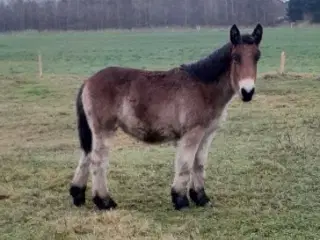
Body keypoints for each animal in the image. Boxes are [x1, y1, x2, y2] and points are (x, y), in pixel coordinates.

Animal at [71, 23, 264, 210]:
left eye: (257, 57)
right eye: (236, 57)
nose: (247, 92)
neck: (204, 88)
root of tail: (88, 81)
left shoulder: (207, 134)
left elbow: (199, 164)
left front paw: (201, 198)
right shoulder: (192, 133)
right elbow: (186, 165)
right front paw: (180, 200)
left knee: (86, 156)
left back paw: (77, 195)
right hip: (104, 130)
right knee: (97, 161)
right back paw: (104, 201)